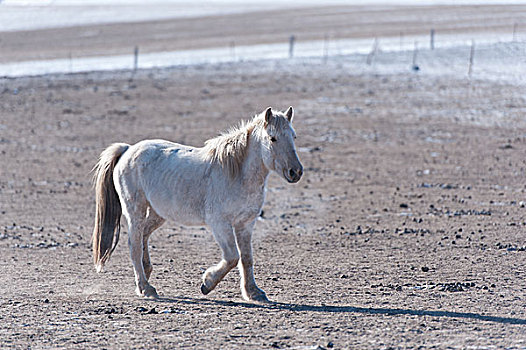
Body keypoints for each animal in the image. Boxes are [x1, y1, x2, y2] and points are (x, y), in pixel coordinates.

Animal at [93, 106, 304, 300]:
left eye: (294, 136)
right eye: (273, 138)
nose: (296, 172)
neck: (237, 174)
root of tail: (128, 149)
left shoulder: (245, 225)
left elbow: (246, 258)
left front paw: (253, 292)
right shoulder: (220, 224)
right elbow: (232, 257)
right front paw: (207, 283)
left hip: (158, 214)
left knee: (143, 235)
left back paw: (146, 273)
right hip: (135, 211)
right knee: (134, 245)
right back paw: (146, 287)